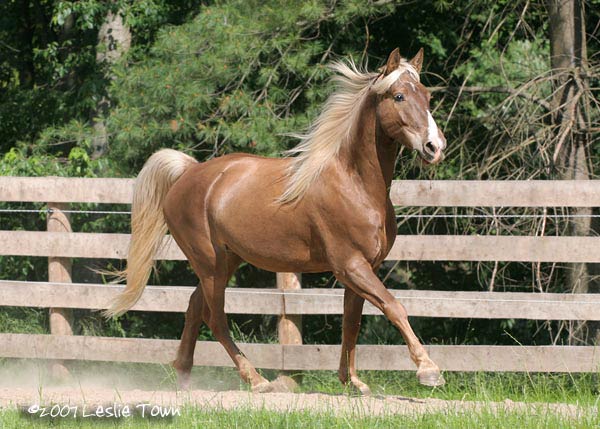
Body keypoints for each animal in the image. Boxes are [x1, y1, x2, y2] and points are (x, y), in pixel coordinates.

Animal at [105, 48, 448, 392]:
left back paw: (185, 378)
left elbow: (352, 323)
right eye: (399, 96)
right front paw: (428, 370)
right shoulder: (351, 266)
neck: (355, 184)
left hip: (225, 261)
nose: (435, 147)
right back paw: (256, 380)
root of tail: (189, 171)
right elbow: (394, 306)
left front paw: (352, 382)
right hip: (210, 264)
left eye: (427, 96)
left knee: (193, 309)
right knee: (215, 319)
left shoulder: (366, 268)